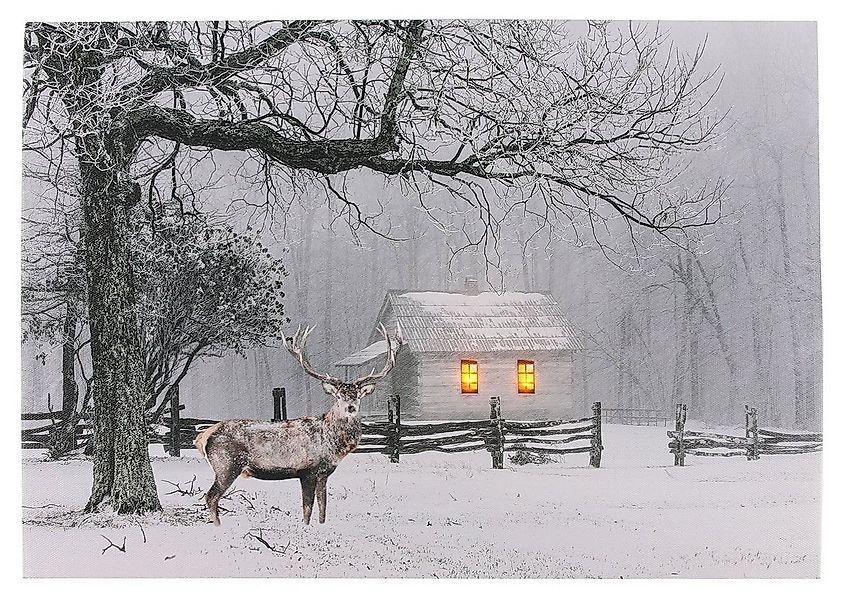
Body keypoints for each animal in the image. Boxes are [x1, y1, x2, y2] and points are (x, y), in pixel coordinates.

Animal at [194, 323, 400, 526]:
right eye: (339, 395)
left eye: (357, 396)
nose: (350, 407)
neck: (331, 445)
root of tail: (204, 436)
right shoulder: (306, 471)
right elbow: (307, 510)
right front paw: (306, 528)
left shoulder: (323, 474)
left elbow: (323, 508)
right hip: (227, 465)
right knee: (211, 496)